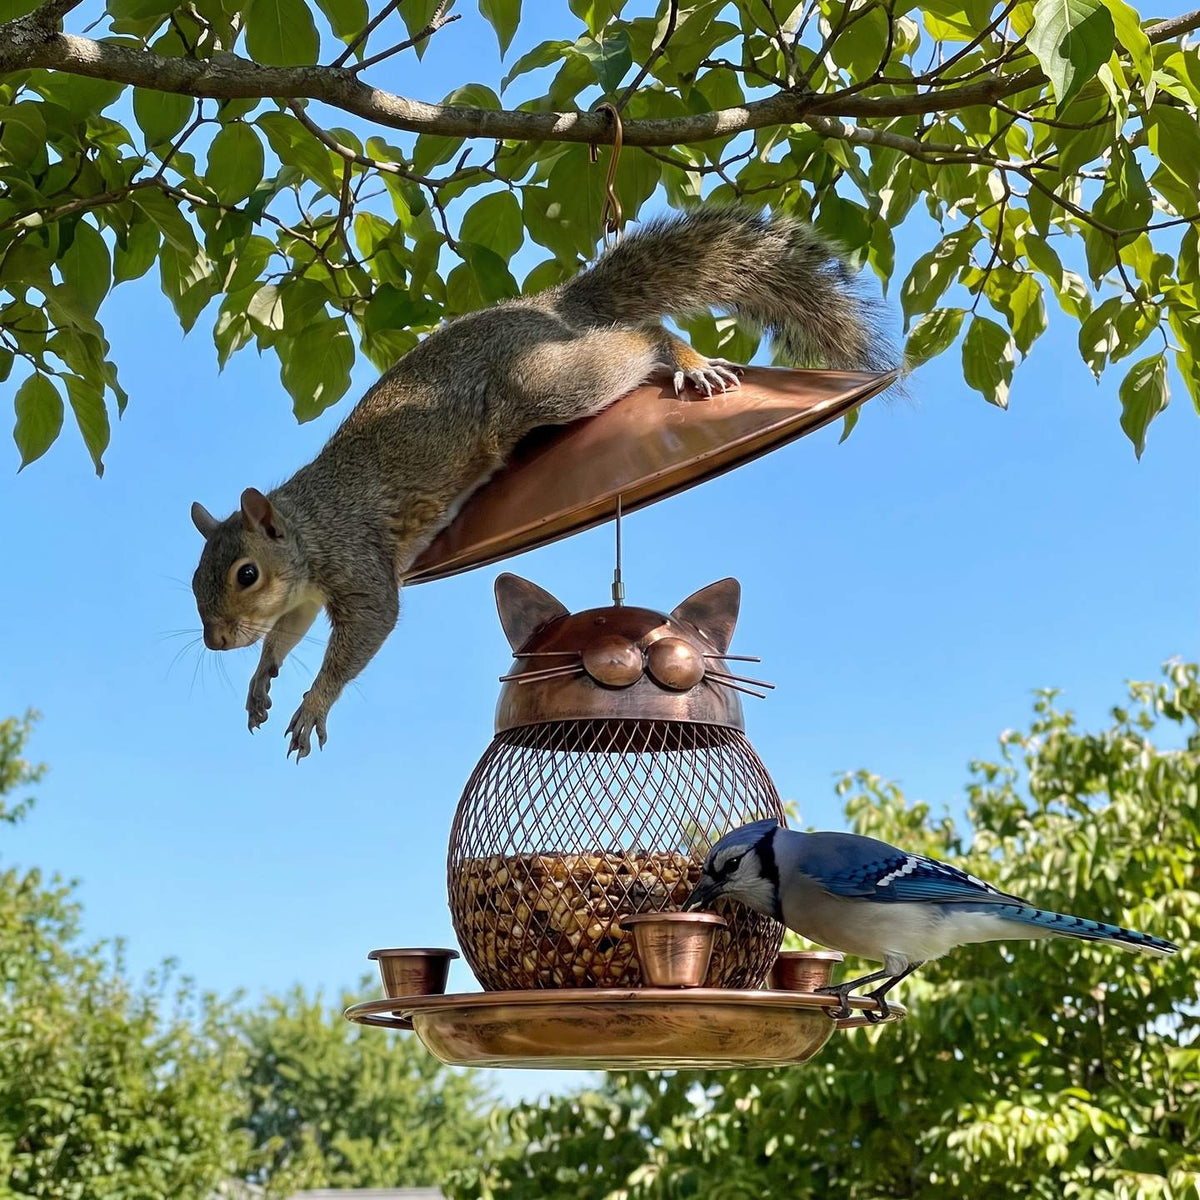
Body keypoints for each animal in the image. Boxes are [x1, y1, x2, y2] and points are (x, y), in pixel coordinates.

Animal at [190, 206, 896, 760]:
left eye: (246, 574)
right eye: (198, 581)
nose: (217, 641)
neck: (306, 528)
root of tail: (548, 308)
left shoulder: (356, 559)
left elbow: (365, 629)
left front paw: (315, 702)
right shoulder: (307, 594)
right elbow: (288, 629)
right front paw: (262, 678)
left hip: (542, 385)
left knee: (638, 338)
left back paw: (681, 358)